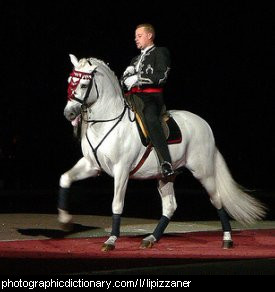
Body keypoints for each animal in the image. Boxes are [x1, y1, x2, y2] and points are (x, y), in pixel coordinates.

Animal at [58, 54, 268, 251]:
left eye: (84, 84)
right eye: (69, 81)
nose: (68, 114)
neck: (107, 122)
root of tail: (203, 124)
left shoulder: (121, 170)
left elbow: (116, 203)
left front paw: (111, 240)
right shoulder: (91, 165)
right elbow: (65, 178)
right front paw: (65, 221)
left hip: (203, 172)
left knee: (216, 198)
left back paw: (227, 239)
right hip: (165, 176)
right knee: (170, 206)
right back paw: (151, 238)